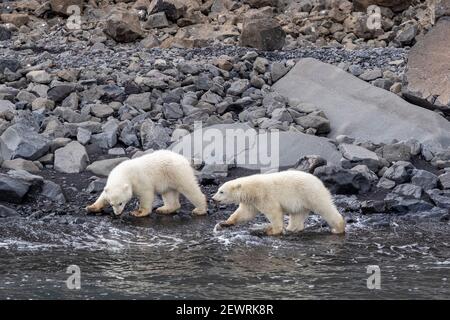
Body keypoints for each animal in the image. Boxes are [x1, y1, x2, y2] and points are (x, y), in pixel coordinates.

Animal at [213, 170, 346, 235]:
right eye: (218, 190)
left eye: (221, 191)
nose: (213, 198)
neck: (251, 189)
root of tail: (318, 181)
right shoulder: (251, 202)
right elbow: (244, 213)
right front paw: (224, 223)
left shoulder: (264, 195)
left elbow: (274, 211)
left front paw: (272, 231)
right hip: (301, 201)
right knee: (297, 215)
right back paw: (291, 229)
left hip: (309, 193)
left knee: (324, 207)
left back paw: (338, 228)